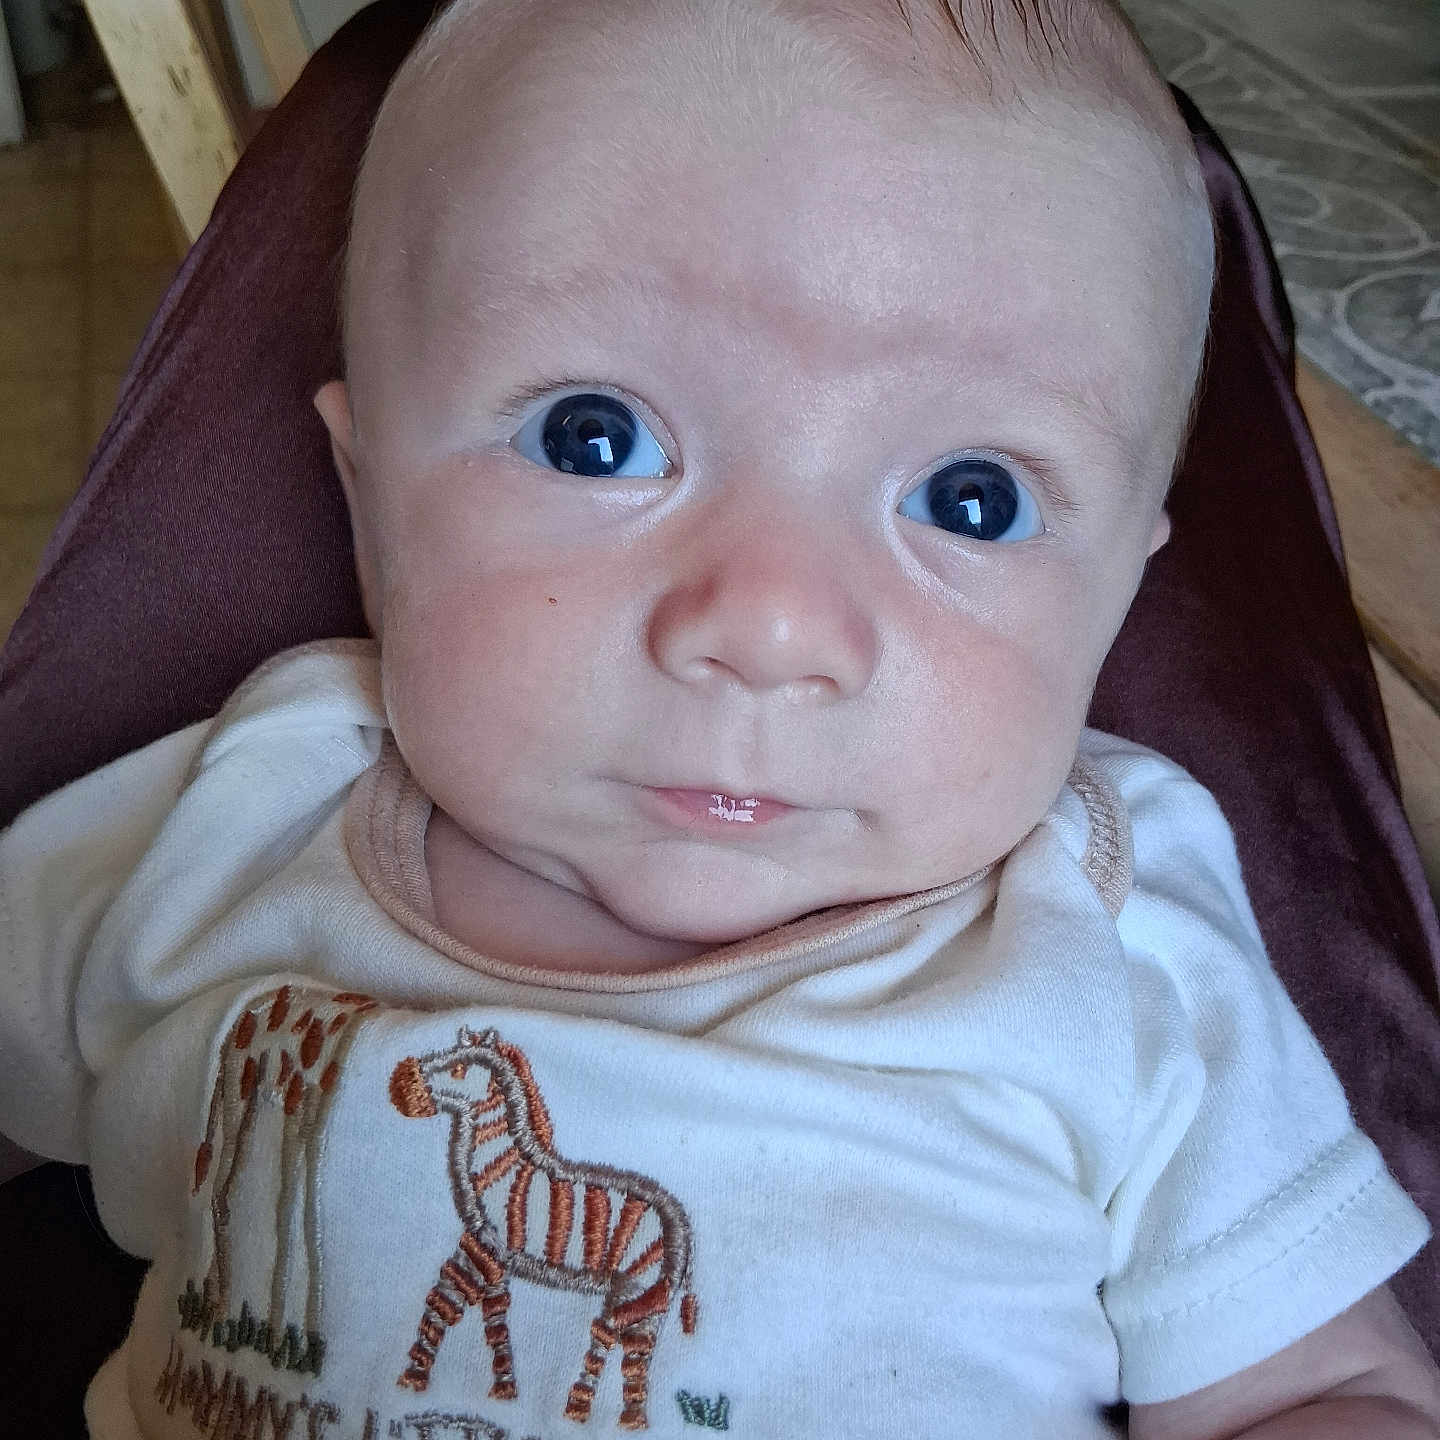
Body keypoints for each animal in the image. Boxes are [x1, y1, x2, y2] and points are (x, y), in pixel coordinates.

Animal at [191, 984, 379, 1371]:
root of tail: (238, 1024)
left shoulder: (316, 1110)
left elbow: (308, 1214)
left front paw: (308, 1340)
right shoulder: (296, 1099)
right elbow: (286, 1213)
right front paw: (278, 1344)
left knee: (226, 1188)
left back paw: (215, 1312)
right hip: (239, 1087)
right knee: (221, 1191)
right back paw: (221, 1319)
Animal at [389, 1030, 698, 1431]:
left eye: (458, 1070)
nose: (399, 1083)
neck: (499, 1170)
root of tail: (681, 1225)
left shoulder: (483, 1249)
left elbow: (443, 1303)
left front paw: (413, 1377)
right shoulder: (492, 1258)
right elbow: (494, 1317)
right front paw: (504, 1389)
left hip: (634, 1286)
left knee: (615, 1339)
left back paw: (584, 1410)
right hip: (647, 1297)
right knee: (632, 1348)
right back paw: (624, 1419)